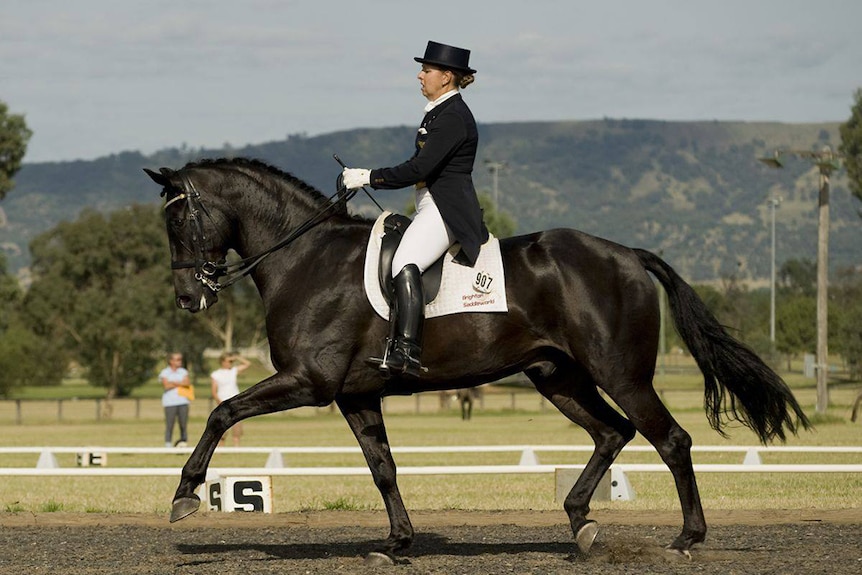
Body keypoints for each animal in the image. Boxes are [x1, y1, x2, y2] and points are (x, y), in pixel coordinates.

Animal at [145, 160, 812, 564]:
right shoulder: (355, 393)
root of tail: (625, 253)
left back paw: (685, 538)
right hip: (557, 376)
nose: (188, 299)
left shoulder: (310, 382)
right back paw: (580, 523)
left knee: (670, 439)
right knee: (613, 432)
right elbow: (383, 468)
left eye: (180, 218)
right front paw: (398, 543)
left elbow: (222, 412)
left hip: (620, 373)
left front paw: (185, 495)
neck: (306, 259)